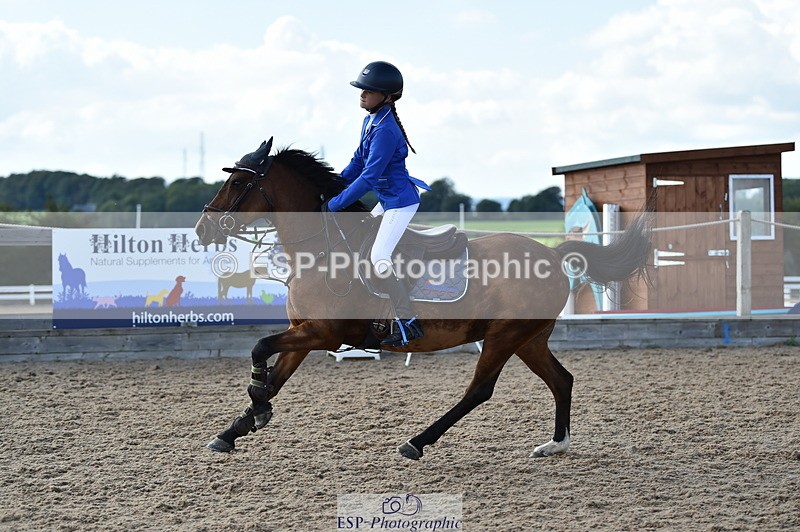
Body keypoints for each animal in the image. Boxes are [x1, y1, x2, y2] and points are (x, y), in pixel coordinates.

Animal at [194, 138, 651, 459]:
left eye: (238, 182)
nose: (201, 229)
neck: (323, 248)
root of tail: (553, 254)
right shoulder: (303, 333)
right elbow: (273, 379)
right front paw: (234, 430)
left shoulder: (322, 333)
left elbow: (259, 349)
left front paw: (254, 411)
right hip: (529, 339)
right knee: (561, 379)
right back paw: (556, 444)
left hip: (505, 336)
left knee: (479, 391)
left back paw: (417, 442)